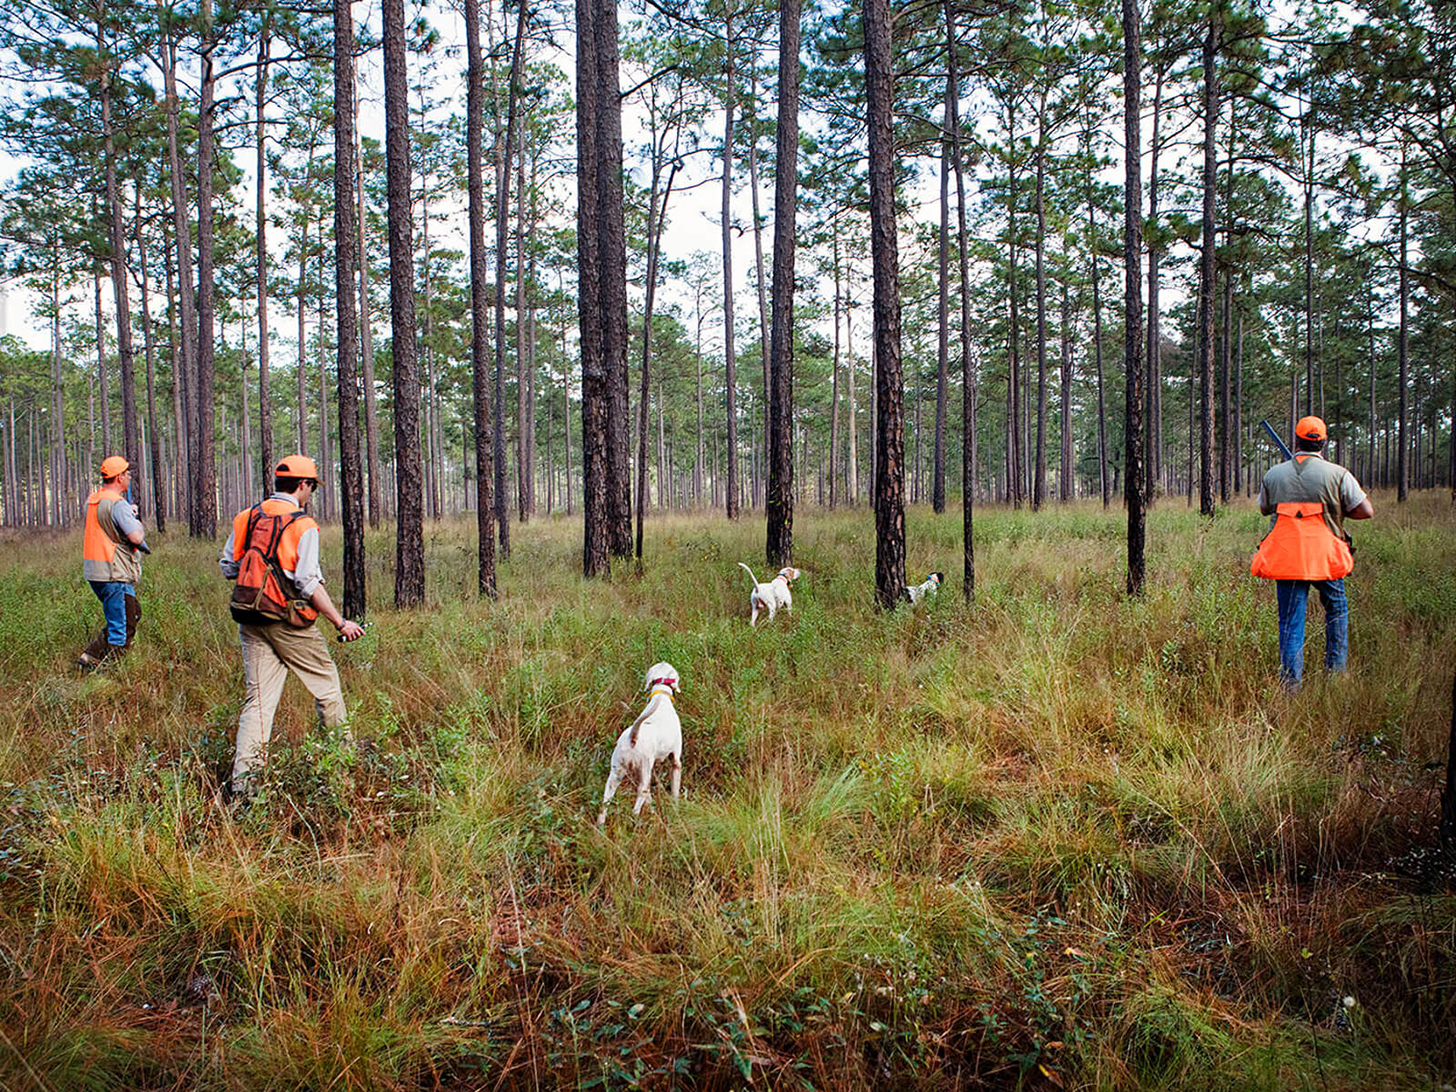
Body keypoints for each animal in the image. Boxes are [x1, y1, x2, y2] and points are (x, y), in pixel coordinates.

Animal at [591, 663, 681, 827]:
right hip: (643, 771)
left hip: (616, 774)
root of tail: (633, 736)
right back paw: (634, 822)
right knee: (640, 798)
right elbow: (675, 791)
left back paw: (600, 825)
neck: (662, 696)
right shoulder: (676, 760)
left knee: (605, 802)